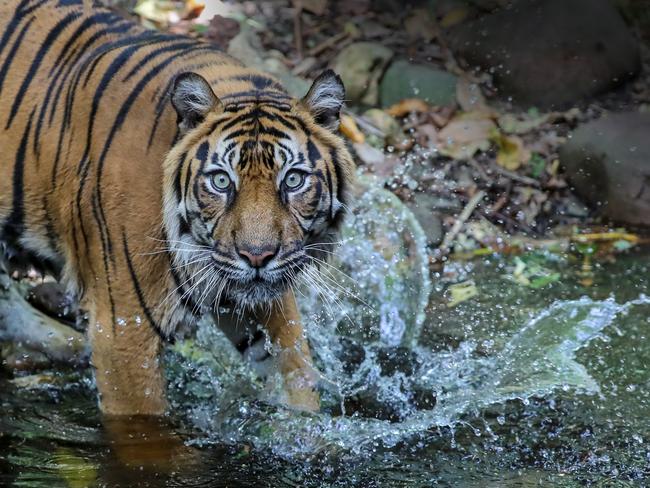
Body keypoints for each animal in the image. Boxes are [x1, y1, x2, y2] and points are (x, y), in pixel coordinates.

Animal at [0, 0, 354, 416]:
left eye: (293, 180)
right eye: (221, 182)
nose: (257, 256)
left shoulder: (259, 289)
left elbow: (295, 366)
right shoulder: (123, 330)